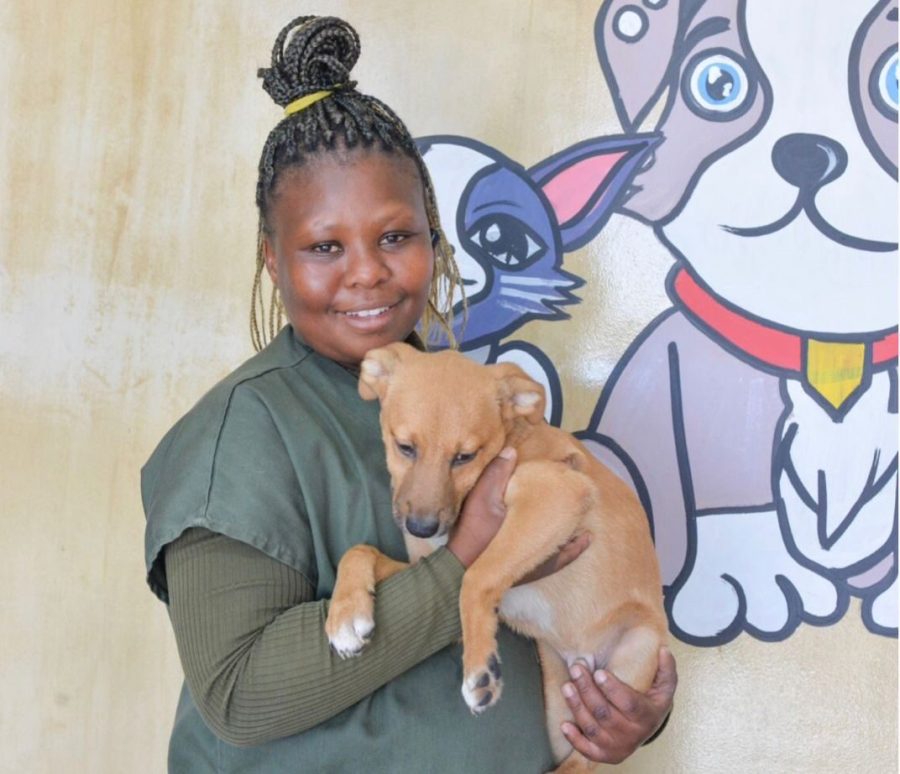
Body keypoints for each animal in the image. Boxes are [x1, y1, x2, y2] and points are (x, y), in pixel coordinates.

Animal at [326, 346, 664, 774]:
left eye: (465, 457)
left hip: (635, 654)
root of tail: (582, 656)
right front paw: (344, 615)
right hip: (557, 713)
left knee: (583, 763)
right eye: (405, 448)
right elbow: (359, 551)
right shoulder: (430, 581)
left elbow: (476, 577)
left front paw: (479, 668)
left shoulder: (557, 492)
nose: (422, 529)